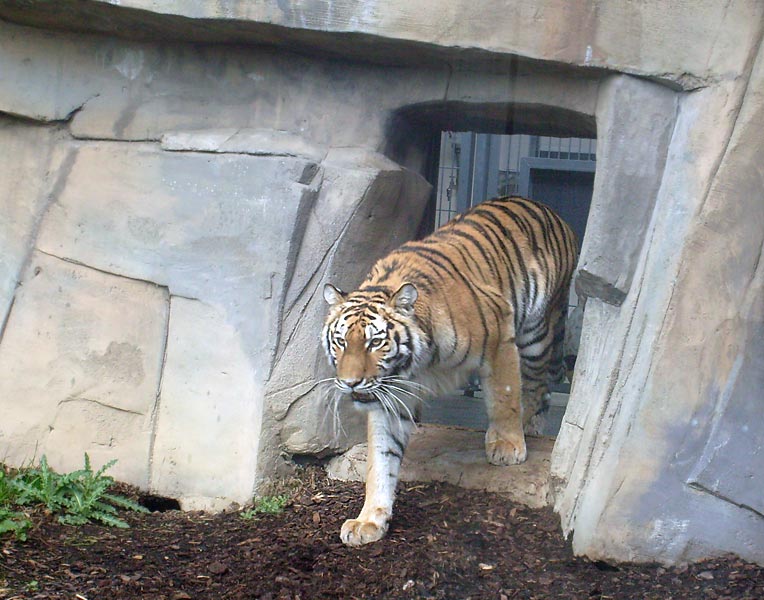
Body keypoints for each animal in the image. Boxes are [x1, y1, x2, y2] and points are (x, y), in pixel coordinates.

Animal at [320, 195, 576, 548]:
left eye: (375, 342)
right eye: (341, 341)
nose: (350, 383)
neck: (418, 364)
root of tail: (545, 207)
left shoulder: (500, 334)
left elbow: (505, 395)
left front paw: (507, 445)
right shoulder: (391, 393)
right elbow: (382, 457)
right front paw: (369, 520)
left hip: (537, 331)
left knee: (536, 384)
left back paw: (527, 428)